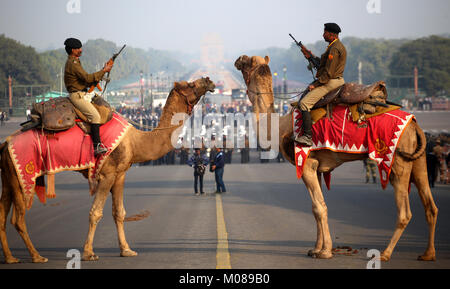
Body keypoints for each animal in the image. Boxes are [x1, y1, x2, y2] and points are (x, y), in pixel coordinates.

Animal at [0, 77, 215, 264]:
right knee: (18, 218)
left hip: (9, 175)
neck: (135, 141)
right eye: (191, 84)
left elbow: (119, 212)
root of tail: (6, 143)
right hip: (23, 174)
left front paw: (126, 250)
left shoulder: (120, 175)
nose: (209, 80)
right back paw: (37, 256)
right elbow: (95, 212)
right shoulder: (107, 174)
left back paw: (11, 258)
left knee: (3, 214)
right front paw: (88, 253)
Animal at [236, 54, 440, 260]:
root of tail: (415, 125)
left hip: (397, 160)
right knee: (430, 205)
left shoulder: (306, 163)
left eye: (247, 63)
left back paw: (385, 253)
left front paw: (325, 251)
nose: (238, 59)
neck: (281, 126)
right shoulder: (316, 166)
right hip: (418, 160)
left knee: (404, 212)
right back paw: (428, 254)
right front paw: (315, 248)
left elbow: (320, 207)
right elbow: (315, 208)